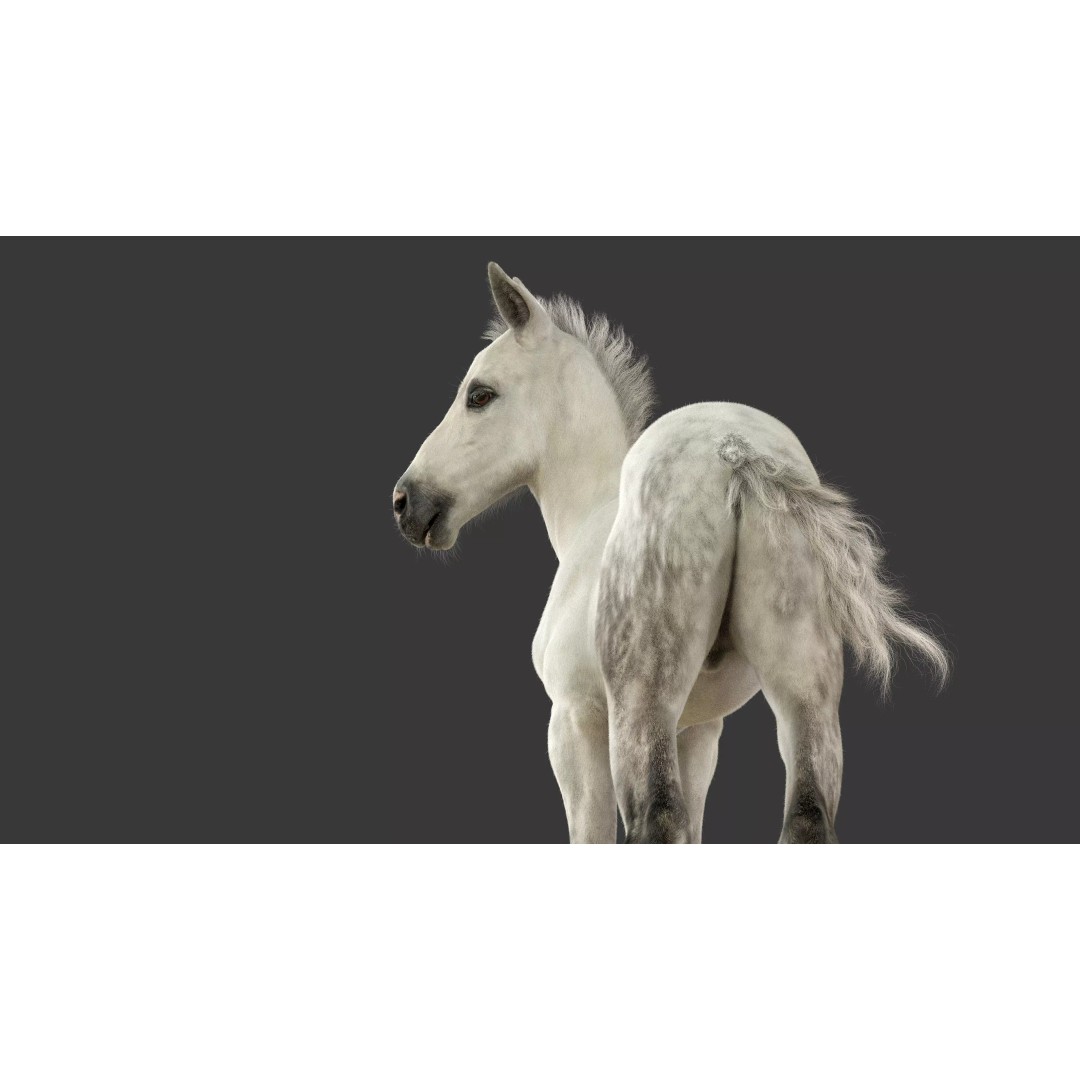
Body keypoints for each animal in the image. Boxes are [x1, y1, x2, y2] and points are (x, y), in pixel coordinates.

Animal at [392, 263, 949, 843]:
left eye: (479, 394)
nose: (406, 502)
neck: (591, 516)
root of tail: (734, 454)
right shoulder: (698, 732)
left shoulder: (574, 722)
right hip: (805, 698)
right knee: (807, 818)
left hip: (642, 704)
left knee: (656, 818)